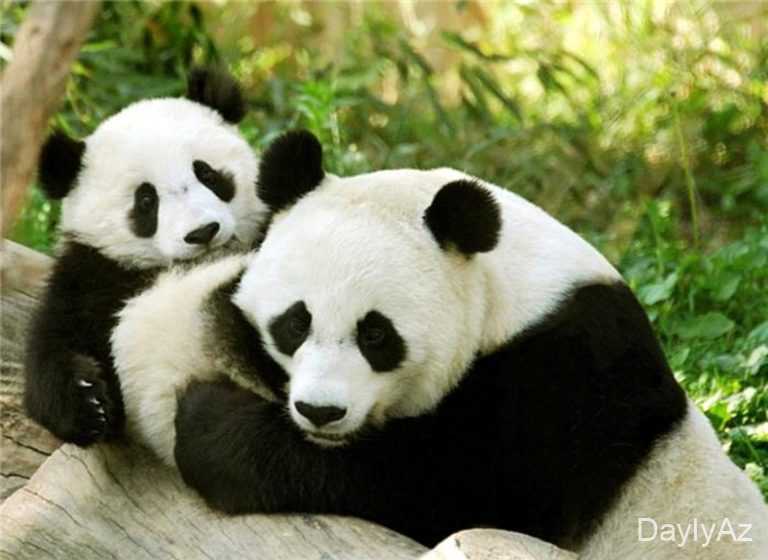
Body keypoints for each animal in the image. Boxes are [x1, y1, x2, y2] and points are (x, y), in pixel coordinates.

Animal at [24, 67, 266, 447]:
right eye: (146, 200)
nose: (202, 232)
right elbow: (52, 342)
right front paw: (89, 404)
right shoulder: (91, 275)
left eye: (207, 174)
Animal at [111, 130, 767, 559]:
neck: (506, 293)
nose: (321, 412)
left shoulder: (573, 377)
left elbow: (454, 488)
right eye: (293, 324)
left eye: (376, 335)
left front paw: (206, 424)